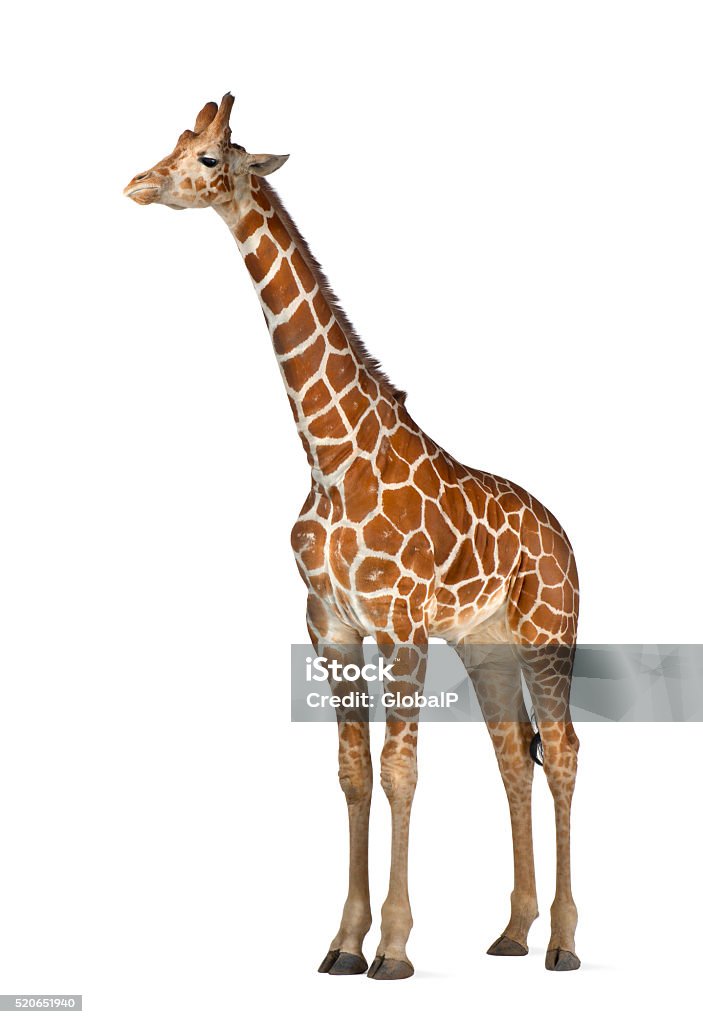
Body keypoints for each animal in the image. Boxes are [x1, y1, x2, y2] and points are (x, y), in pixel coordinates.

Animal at [125, 94, 581, 974]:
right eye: (173, 142)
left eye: (208, 158)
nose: (136, 184)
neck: (330, 458)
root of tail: (563, 535)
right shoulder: (330, 627)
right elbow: (352, 774)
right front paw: (342, 941)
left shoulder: (401, 625)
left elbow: (401, 770)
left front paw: (394, 948)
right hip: (487, 644)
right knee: (513, 756)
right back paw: (512, 932)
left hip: (548, 634)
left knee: (564, 752)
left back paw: (565, 943)